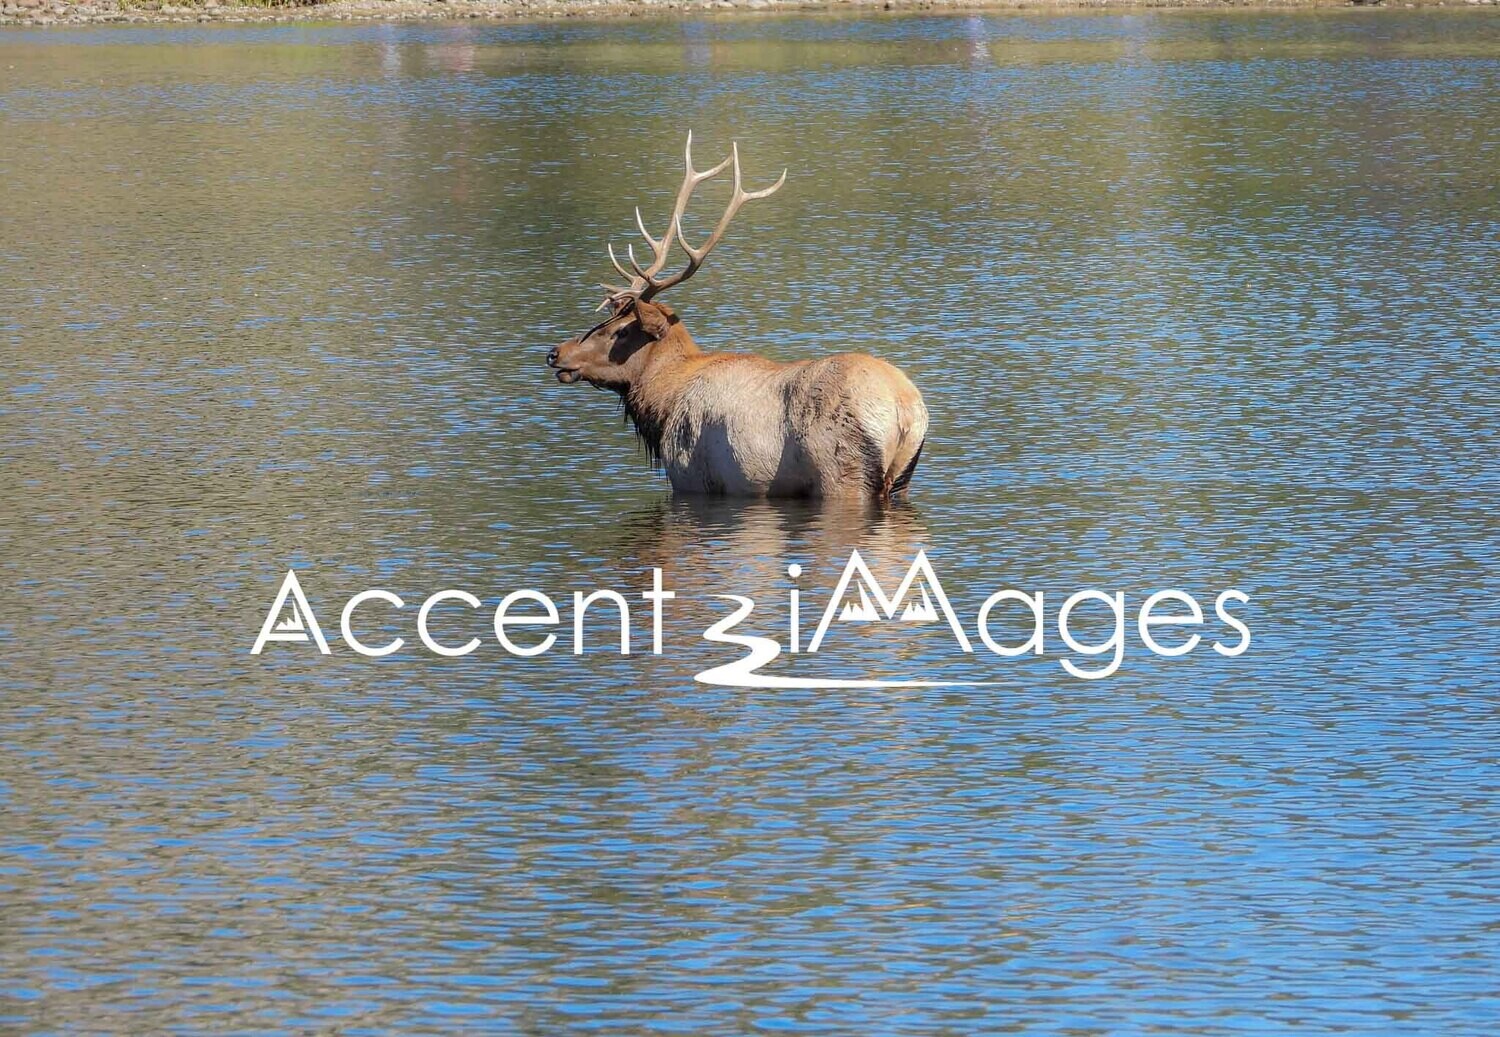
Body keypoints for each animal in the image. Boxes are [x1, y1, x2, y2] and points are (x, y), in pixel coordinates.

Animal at [547, 134, 928, 501]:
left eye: (621, 331)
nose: (555, 353)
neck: (663, 405)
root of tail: (905, 411)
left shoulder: (691, 477)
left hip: (841, 473)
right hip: (901, 480)